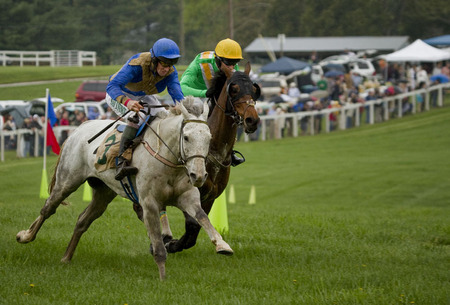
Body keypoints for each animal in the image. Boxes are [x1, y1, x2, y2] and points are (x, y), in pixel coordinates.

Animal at [161, 61, 260, 252]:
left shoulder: (211, 197)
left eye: (253, 88)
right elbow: (192, 224)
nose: (252, 120)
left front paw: (177, 243)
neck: (213, 150)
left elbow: (195, 229)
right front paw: (173, 244)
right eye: (234, 89)